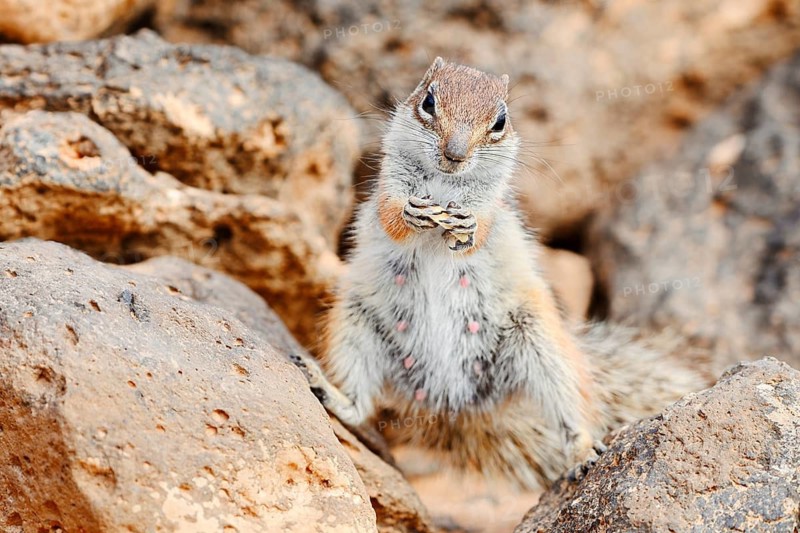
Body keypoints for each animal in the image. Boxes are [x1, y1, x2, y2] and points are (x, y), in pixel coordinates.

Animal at [292, 57, 708, 489]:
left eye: (501, 121)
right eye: (428, 102)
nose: (455, 154)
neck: (445, 185)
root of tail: (454, 400)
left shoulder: (494, 207)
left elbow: (482, 228)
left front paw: (468, 225)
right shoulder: (386, 190)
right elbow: (391, 216)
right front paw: (412, 213)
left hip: (540, 341)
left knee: (569, 405)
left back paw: (580, 451)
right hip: (354, 324)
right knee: (360, 404)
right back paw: (329, 391)